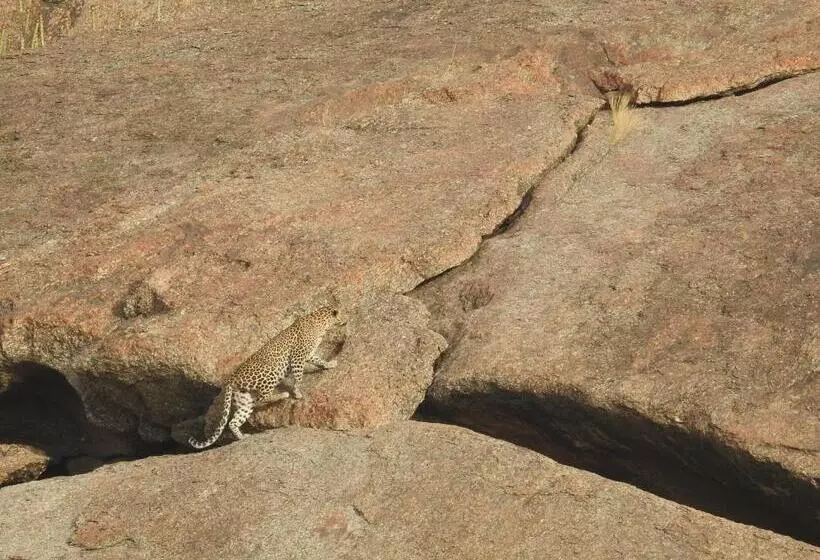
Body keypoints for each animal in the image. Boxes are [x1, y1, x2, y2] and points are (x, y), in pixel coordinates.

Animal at [188, 305, 340, 449]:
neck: (320, 322)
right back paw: (283, 395)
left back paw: (242, 437)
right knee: (262, 398)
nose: (343, 320)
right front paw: (297, 393)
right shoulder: (297, 357)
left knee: (234, 421)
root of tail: (231, 380)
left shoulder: (308, 355)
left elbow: (319, 360)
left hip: (244, 400)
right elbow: (298, 377)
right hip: (269, 374)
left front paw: (329, 364)